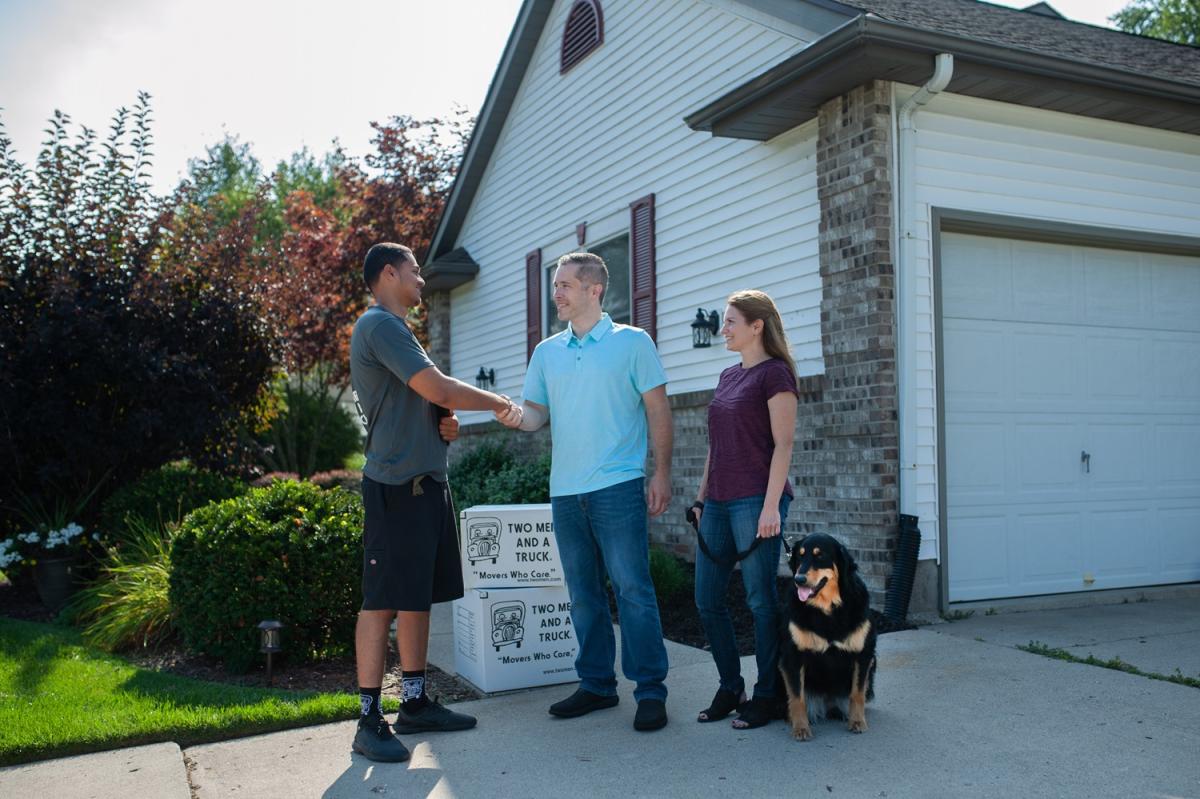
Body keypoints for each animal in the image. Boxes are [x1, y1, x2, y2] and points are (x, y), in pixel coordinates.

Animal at [772, 532, 878, 739]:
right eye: (799, 556)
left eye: (819, 556)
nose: (799, 579)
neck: (827, 608)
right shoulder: (791, 656)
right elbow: (797, 697)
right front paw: (801, 728)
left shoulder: (863, 654)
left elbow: (857, 694)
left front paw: (857, 722)